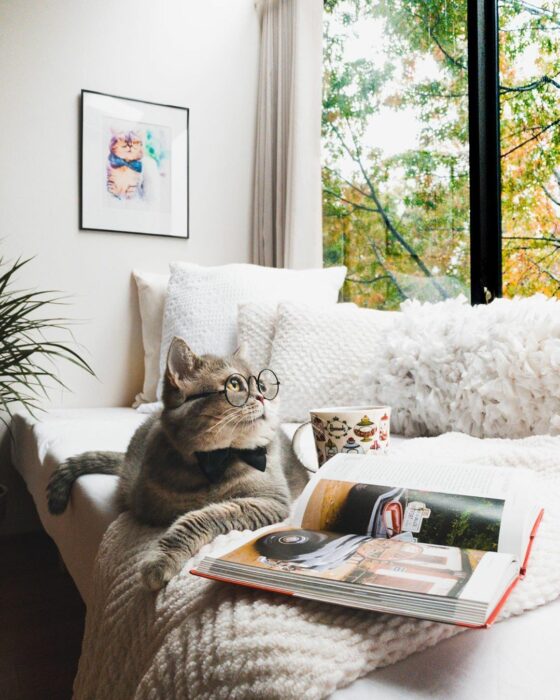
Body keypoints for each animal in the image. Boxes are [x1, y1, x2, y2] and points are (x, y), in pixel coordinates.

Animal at [46, 340, 290, 592]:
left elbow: (203, 515)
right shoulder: (150, 507)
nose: (263, 397)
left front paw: (160, 560)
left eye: (262, 385)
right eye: (234, 384)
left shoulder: (270, 501)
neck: (217, 459)